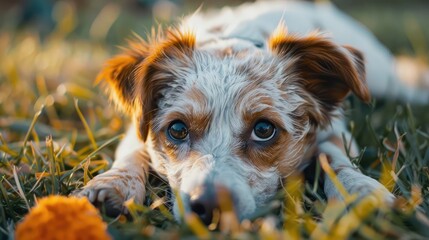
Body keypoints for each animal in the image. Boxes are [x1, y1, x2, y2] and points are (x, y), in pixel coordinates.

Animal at [75, 0, 426, 225]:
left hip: (385, 78)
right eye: (177, 129)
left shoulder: (335, 130)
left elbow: (336, 160)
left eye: (264, 129)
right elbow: (132, 155)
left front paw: (361, 191)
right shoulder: (137, 129)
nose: (210, 205)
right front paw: (113, 185)